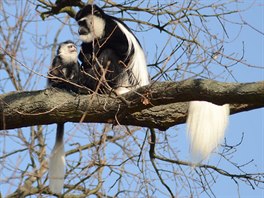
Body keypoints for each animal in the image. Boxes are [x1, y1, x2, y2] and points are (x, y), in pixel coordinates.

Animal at [74, 5, 229, 161]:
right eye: (79, 24)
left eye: (82, 23)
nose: (79, 31)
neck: (101, 29)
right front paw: (84, 54)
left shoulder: (113, 29)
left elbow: (121, 48)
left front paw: (93, 50)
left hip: (122, 78)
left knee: (109, 54)